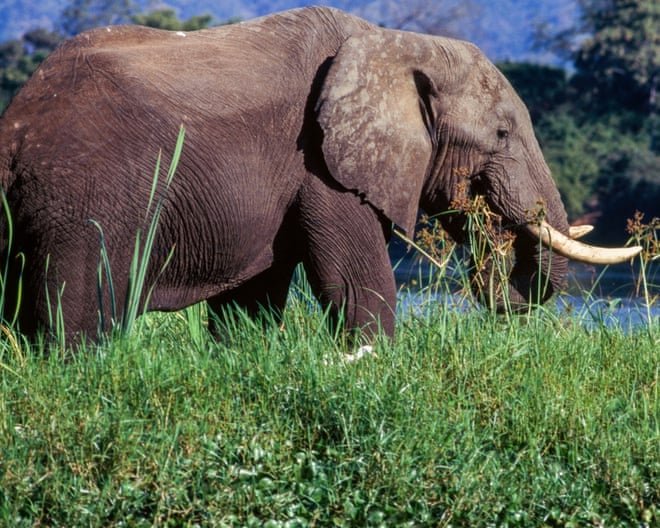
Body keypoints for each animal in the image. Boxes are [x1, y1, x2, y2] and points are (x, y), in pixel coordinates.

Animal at [0, 6, 640, 344]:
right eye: (502, 135)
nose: (493, 260)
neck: (394, 44)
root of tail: (13, 126)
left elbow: (253, 299)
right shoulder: (321, 165)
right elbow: (358, 286)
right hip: (83, 203)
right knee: (76, 318)